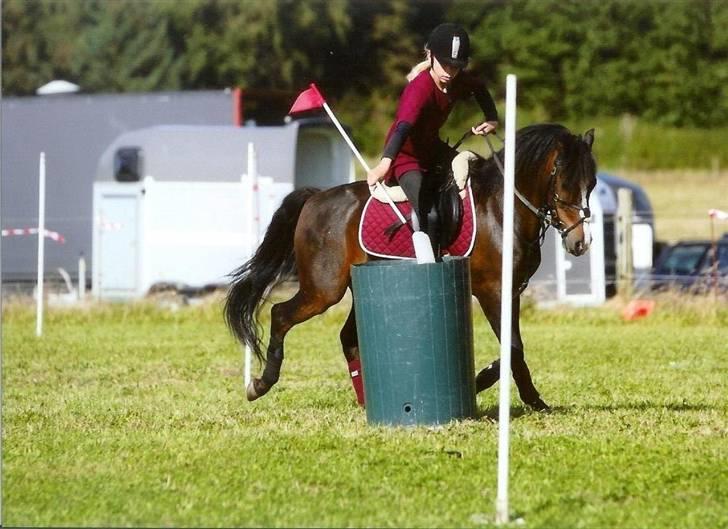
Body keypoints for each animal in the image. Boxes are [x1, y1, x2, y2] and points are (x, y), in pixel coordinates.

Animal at [225, 125, 596, 412]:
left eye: (591, 184)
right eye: (563, 184)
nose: (581, 242)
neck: (502, 210)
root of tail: (316, 197)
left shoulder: (512, 291)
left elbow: (513, 347)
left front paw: (531, 399)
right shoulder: (493, 291)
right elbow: (512, 348)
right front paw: (485, 383)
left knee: (347, 337)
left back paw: (367, 400)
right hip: (323, 289)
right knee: (280, 315)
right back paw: (260, 384)